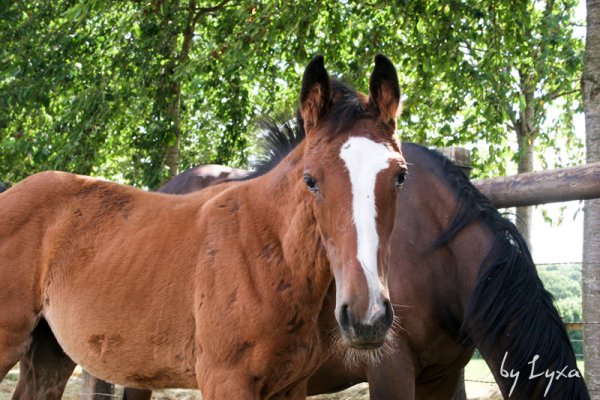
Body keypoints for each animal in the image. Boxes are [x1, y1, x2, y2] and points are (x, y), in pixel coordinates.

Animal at [0, 54, 408, 398]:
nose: (367, 318)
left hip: (49, 352)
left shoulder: (291, 386)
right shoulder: (225, 380)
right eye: (311, 180)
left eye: (400, 176)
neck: (269, 252)